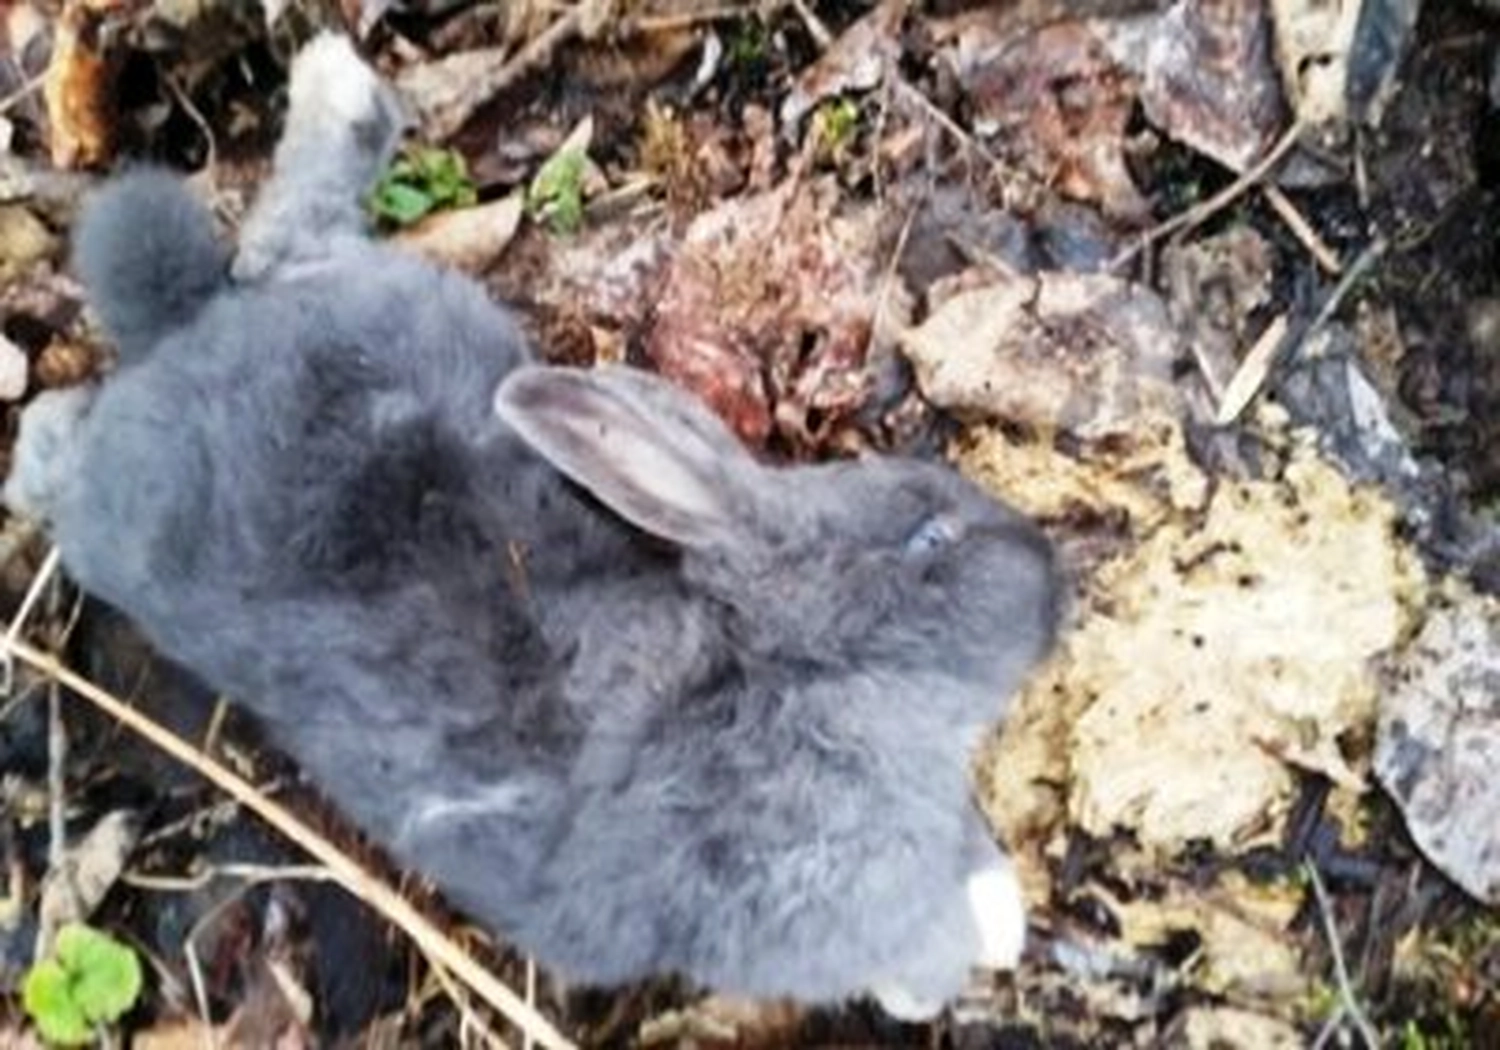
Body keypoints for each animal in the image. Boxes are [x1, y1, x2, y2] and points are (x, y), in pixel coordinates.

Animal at [5, 33, 1060, 1017]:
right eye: (931, 536)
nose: (1054, 568)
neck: (792, 674)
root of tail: (182, 326)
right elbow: (915, 934)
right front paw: (970, 949)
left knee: (281, 237)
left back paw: (337, 82)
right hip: (121, 523)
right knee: (70, 431)